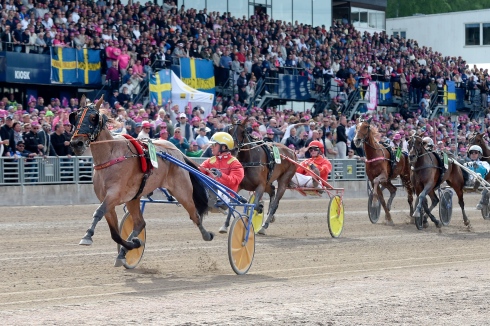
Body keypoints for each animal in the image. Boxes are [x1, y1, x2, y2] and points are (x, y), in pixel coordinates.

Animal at [69, 95, 214, 268]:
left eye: (93, 117)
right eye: (75, 117)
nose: (76, 143)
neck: (111, 156)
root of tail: (177, 151)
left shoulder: (114, 195)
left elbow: (98, 212)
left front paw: (87, 236)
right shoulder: (108, 201)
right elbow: (115, 233)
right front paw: (133, 244)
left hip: (182, 191)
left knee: (195, 215)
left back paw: (207, 235)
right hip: (134, 198)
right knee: (140, 223)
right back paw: (125, 250)